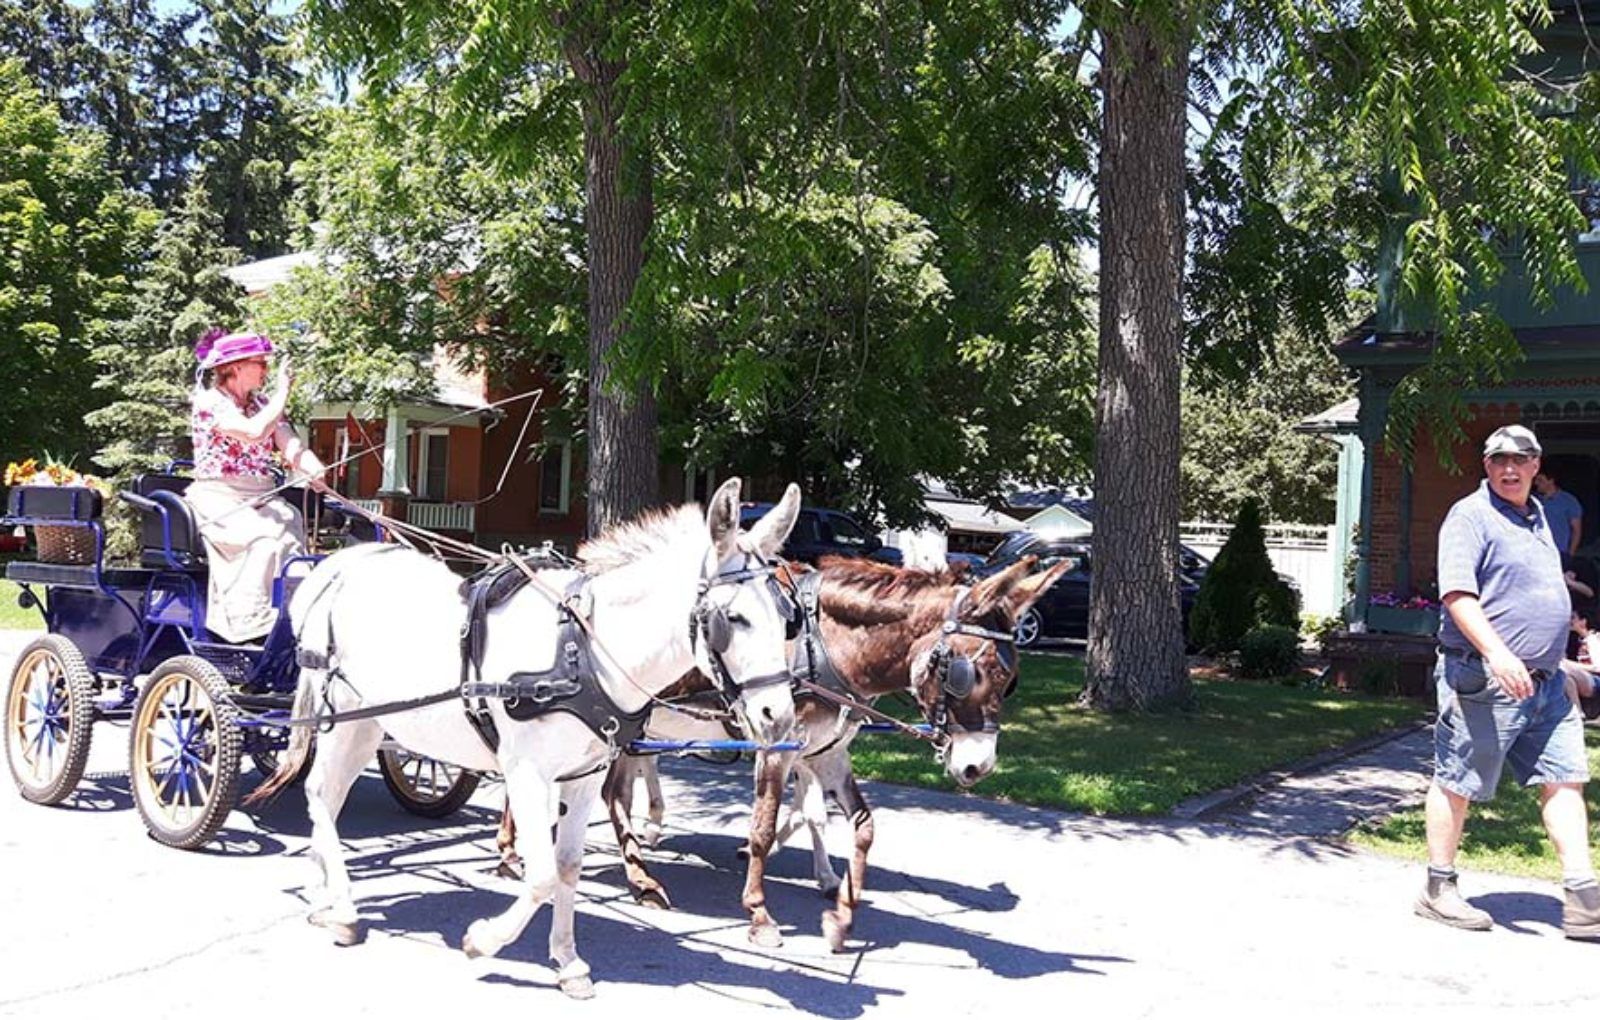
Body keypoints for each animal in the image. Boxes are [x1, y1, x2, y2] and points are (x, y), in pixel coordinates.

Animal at [249, 478, 801, 998]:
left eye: (786, 617)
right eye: (733, 618)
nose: (778, 715)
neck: (583, 651)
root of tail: (337, 565)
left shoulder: (584, 775)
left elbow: (568, 867)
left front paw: (568, 962)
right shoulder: (528, 773)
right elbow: (540, 875)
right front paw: (484, 940)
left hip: (373, 724)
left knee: (329, 795)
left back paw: (322, 893)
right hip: (343, 717)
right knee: (321, 793)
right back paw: (342, 908)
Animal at [511, 554, 1068, 950]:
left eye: (1012, 681)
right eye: (967, 674)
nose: (978, 765)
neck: (826, 645)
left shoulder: (827, 752)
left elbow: (859, 825)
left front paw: (842, 913)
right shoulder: (777, 745)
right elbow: (765, 826)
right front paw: (759, 913)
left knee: (610, 792)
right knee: (595, 793)